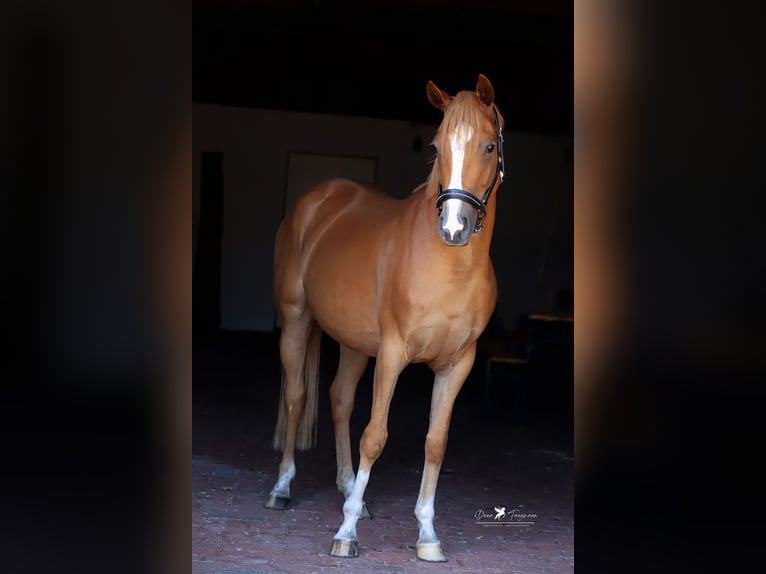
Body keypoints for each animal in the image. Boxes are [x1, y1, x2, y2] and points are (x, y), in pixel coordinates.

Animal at [268, 74, 508, 564]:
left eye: (489, 146)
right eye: (436, 146)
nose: (453, 228)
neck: (450, 268)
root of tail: (318, 198)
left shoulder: (458, 365)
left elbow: (435, 443)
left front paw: (428, 535)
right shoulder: (394, 355)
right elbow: (374, 436)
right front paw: (346, 533)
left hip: (356, 343)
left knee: (339, 399)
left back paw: (347, 491)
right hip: (298, 321)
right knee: (297, 397)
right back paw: (282, 488)